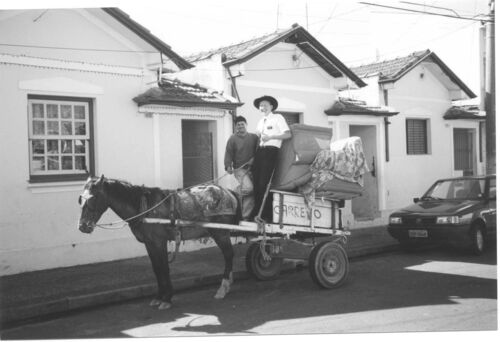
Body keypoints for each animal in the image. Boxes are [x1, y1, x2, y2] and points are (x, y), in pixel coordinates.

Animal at [77, 175, 241, 312]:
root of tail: (227, 192)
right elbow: (157, 268)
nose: (83, 226)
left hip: (220, 233)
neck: (144, 207)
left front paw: (167, 298)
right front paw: (159, 297)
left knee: (228, 255)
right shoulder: (150, 244)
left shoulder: (159, 242)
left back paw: (223, 286)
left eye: (93, 198)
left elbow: (164, 268)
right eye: (80, 199)